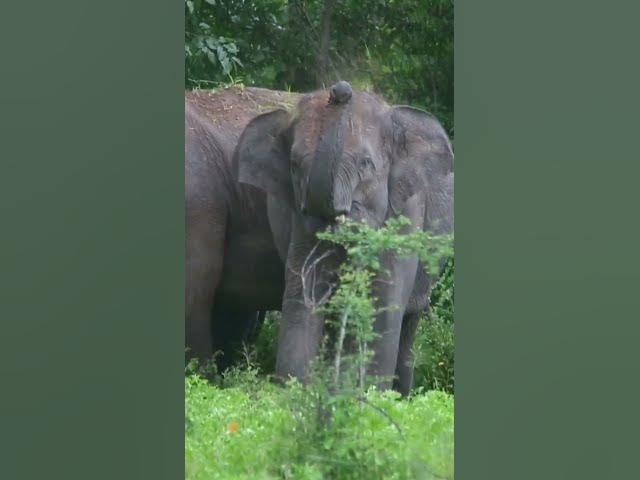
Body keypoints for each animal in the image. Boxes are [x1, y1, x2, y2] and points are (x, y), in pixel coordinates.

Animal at [235, 80, 453, 395]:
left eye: (366, 164)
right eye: (294, 165)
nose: (340, 90)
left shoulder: (405, 213)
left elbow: (383, 307)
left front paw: (368, 397)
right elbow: (302, 299)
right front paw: (298, 396)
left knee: (410, 321)